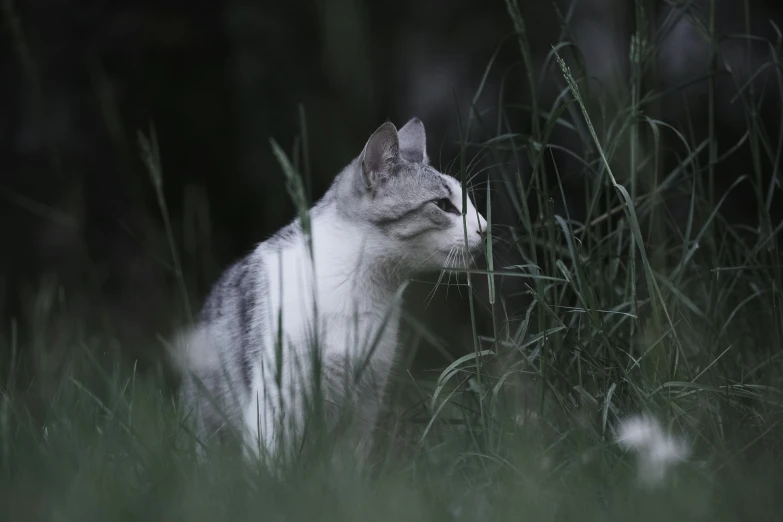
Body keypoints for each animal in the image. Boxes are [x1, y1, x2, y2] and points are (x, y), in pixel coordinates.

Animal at [175, 117, 486, 464]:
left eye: (470, 202)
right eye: (443, 205)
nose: (485, 228)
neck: (360, 288)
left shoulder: (364, 400)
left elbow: (346, 466)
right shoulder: (276, 398)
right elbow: (273, 464)